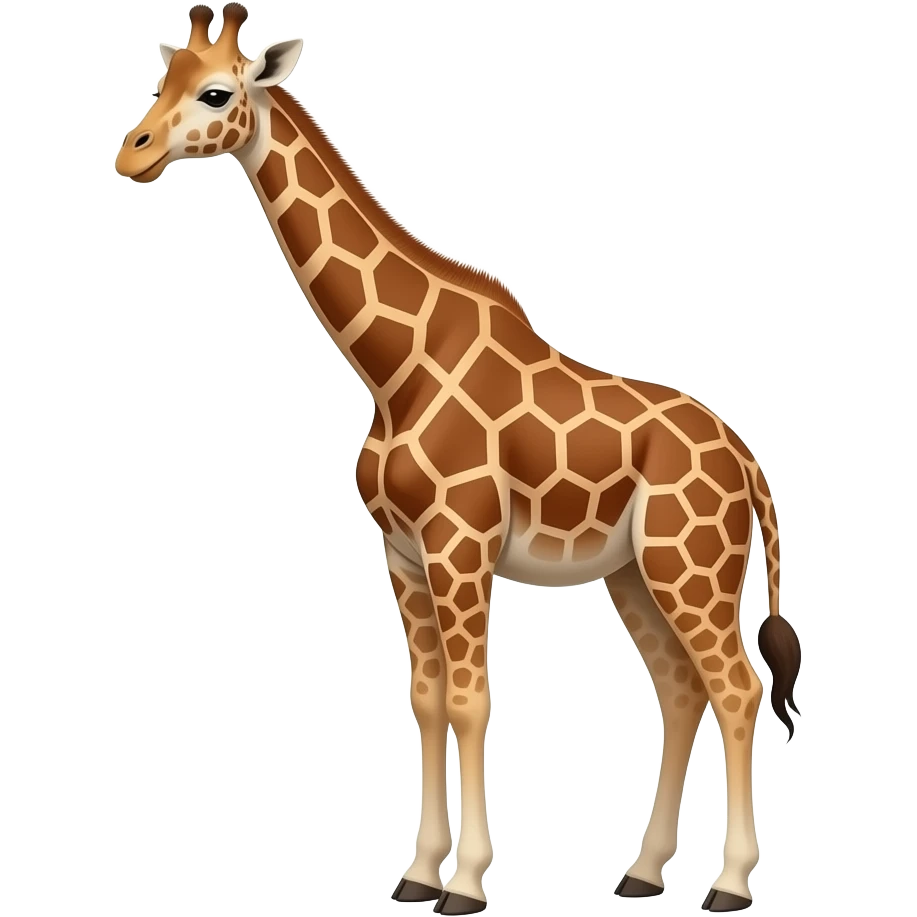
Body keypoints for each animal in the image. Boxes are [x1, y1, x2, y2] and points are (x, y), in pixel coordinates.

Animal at [114, 5, 803, 913]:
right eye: (164, 78)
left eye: (218, 91)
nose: (133, 153)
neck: (390, 367)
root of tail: (748, 463)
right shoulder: (402, 552)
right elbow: (428, 700)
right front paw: (416, 871)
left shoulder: (459, 543)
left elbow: (474, 702)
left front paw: (468, 882)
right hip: (633, 571)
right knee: (682, 688)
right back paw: (641, 872)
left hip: (690, 565)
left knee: (738, 686)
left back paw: (726, 883)